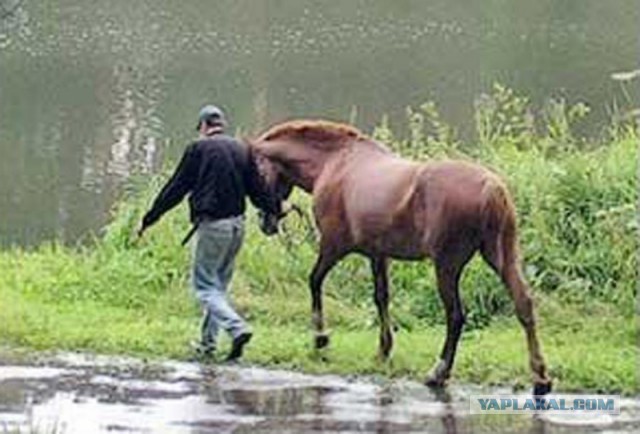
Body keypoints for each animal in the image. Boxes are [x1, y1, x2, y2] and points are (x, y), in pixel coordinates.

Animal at [248, 118, 552, 396]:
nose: (266, 222)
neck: (335, 163)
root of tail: (492, 187)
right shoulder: (378, 255)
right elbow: (381, 297)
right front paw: (383, 350)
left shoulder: (333, 246)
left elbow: (314, 281)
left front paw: (321, 339)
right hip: (502, 257)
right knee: (524, 304)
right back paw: (540, 378)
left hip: (447, 265)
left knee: (455, 316)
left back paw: (438, 373)